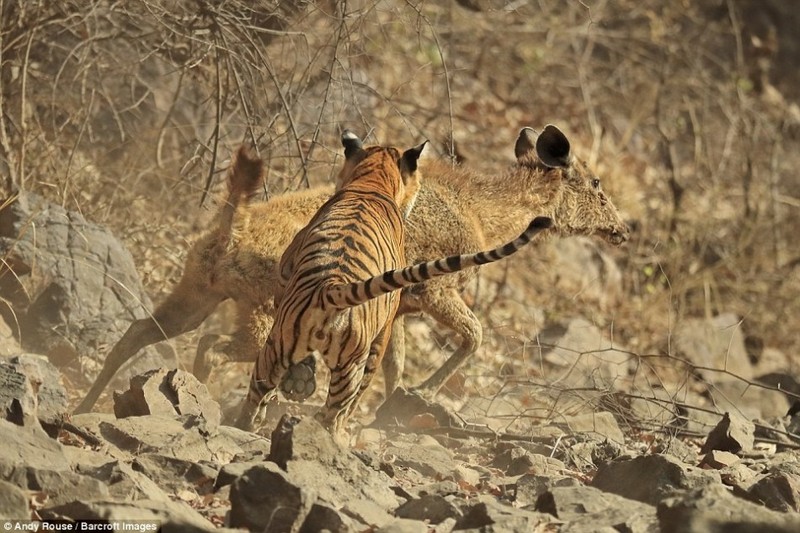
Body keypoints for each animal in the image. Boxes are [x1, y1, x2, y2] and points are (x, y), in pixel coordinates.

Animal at [234, 129, 552, 436]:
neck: (372, 181)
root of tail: (331, 289)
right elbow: (385, 366)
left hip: (282, 349)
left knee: (266, 394)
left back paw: (255, 425)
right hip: (331, 360)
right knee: (329, 409)